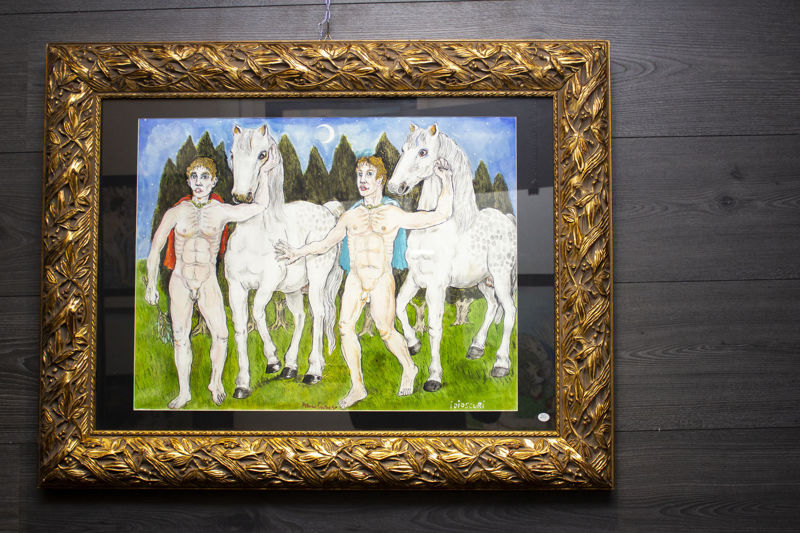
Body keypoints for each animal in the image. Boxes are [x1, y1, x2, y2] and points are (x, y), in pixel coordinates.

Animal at [224, 124, 343, 399]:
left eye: (262, 154)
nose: (241, 197)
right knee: (300, 317)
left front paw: (272, 362)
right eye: (233, 154)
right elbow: (240, 327)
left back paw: (312, 371)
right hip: (292, 290)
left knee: (318, 313)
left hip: (317, 281)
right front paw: (242, 384)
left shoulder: (267, 284)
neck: (254, 236)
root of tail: (328, 211)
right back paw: (291, 367)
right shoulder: (236, 288)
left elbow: (258, 313)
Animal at [386, 123, 517, 392]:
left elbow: (435, 328)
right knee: (492, 307)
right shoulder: (415, 279)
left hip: (501, 278)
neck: (435, 223)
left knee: (509, 312)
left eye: (423, 152)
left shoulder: (436, 286)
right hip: (483, 282)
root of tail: (508, 220)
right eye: (403, 149)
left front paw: (434, 378)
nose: (394, 187)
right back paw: (476, 348)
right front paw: (413, 344)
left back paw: (501, 364)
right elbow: (400, 307)